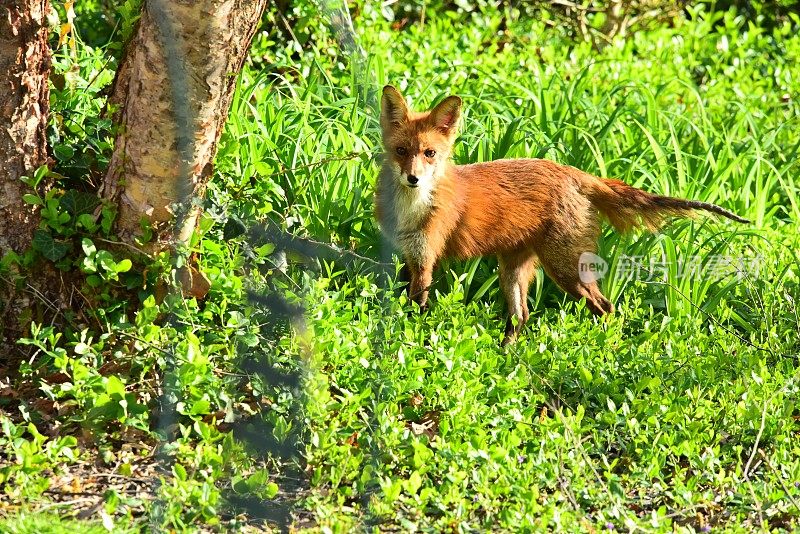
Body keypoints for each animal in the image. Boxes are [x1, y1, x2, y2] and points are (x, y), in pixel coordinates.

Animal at [376, 86, 752, 346]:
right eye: (401, 151)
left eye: (430, 153)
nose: (413, 178)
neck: (412, 210)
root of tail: (575, 172)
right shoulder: (409, 256)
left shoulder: (426, 259)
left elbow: (415, 308)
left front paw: (409, 342)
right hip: (513, 271)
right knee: (521, 316)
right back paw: (506, 356)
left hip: (566, 270)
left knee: (606, 307)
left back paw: (602, 349)